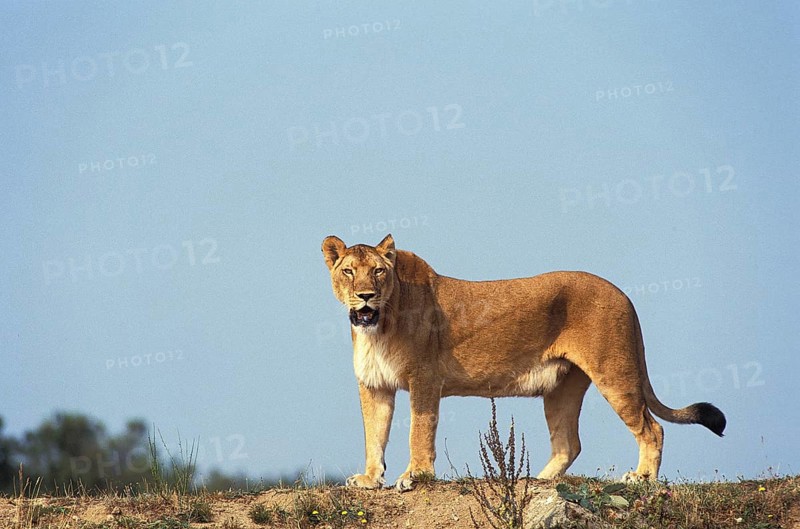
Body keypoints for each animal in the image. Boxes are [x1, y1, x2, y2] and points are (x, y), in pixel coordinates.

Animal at [321, 234, 726, 491]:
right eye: (348, 271)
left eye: (378, 271)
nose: (365, 296)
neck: (379, 326)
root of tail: (623, 294)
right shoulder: (374, 385)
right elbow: (374, 435)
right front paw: (369, 479)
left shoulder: (424, 379)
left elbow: (418, 432)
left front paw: (415, 476)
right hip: (563, 388)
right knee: (568, 443)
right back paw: (538, 480)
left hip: (615, 373)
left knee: (652, 428)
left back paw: (641, 478)